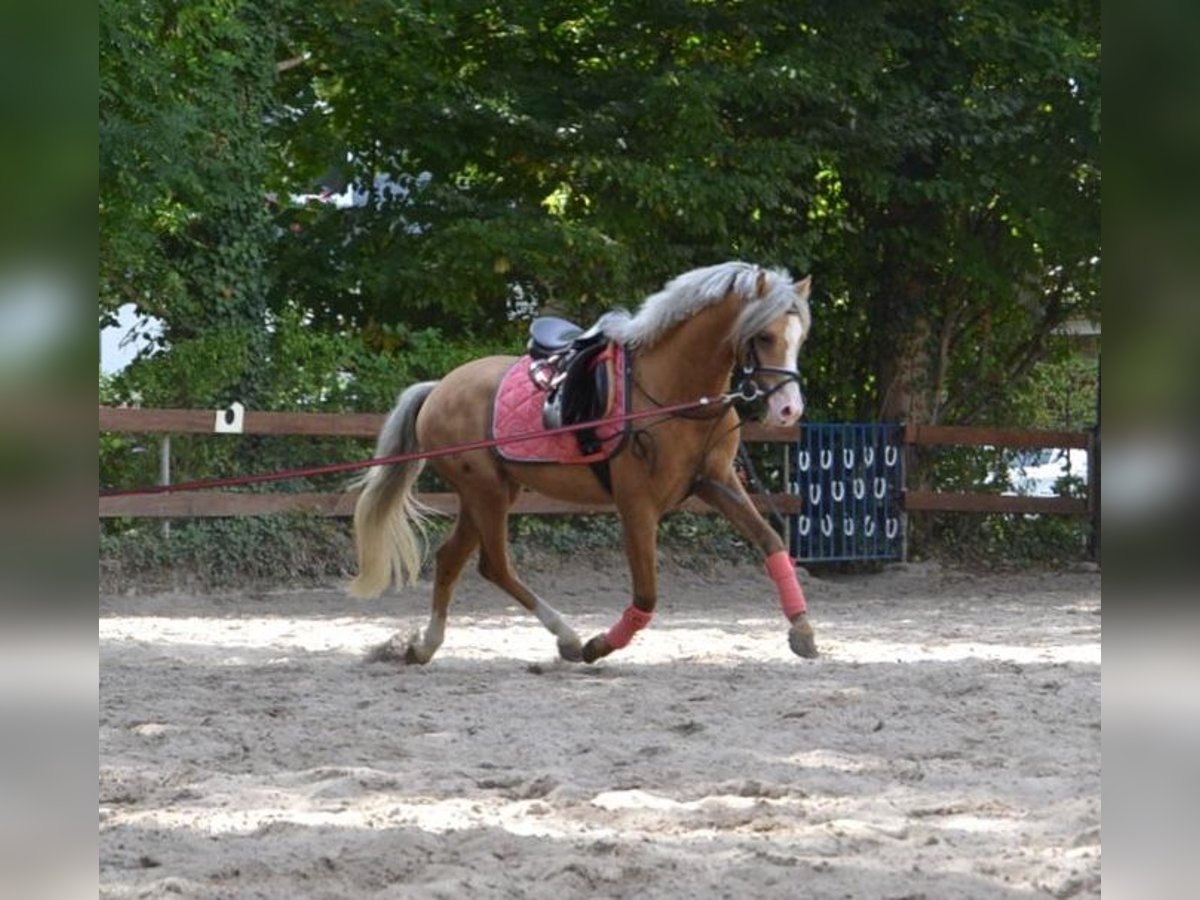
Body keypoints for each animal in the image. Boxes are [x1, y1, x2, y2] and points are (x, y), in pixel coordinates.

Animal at [348, 260, 816, 662]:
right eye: (765, 336)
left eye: (799, 338)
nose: (789, 410)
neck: (675, 392)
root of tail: (438, 388)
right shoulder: (637, 506)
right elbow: (646, 595)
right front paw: (598, 646)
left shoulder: (716, 483)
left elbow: (771, 542)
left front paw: (802, 631)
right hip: (486, 492)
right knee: (495, 565)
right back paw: (569, 638)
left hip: (488, 493)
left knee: (452, 559)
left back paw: (425, 646)